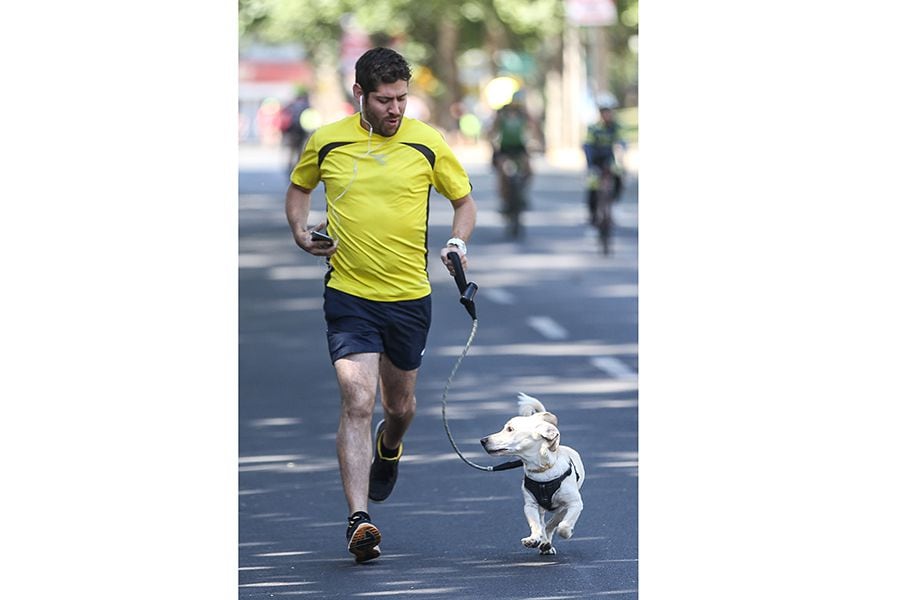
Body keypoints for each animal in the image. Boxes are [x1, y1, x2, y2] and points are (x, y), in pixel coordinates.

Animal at [480, 392, 588, 556]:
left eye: (510, 429)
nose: (483, 440)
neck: (542, 471)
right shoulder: (530, 505)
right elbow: (536, 525)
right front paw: (534, 539)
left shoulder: (574, 503)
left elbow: (561, 526)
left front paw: (566, 532)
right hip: (541, 508)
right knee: (543, 522)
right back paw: (544, 542)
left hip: (563, 507)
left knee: (553, 522)